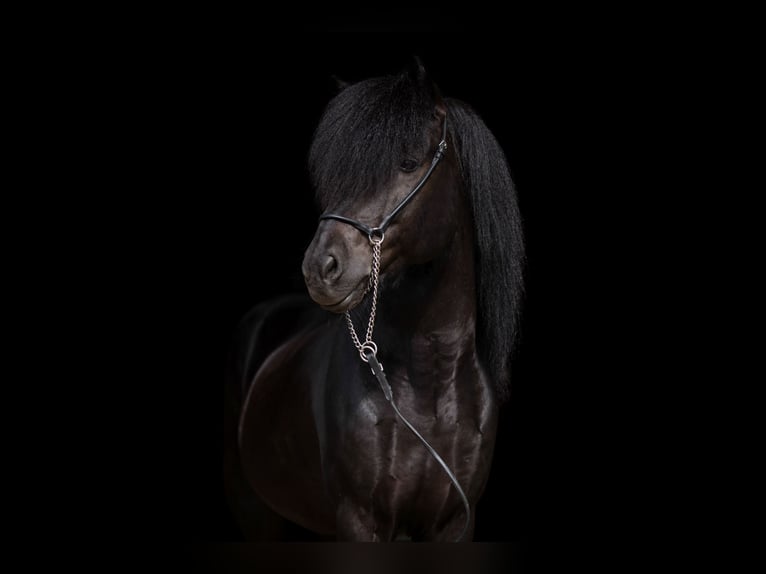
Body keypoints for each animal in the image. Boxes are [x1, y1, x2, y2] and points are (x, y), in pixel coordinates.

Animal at [224, 60, 525, 542]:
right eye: (338, 172)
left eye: (408, 162)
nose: (321, 267)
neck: (431, 379)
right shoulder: (359, 519)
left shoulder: (457, 521)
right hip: (252, 509)